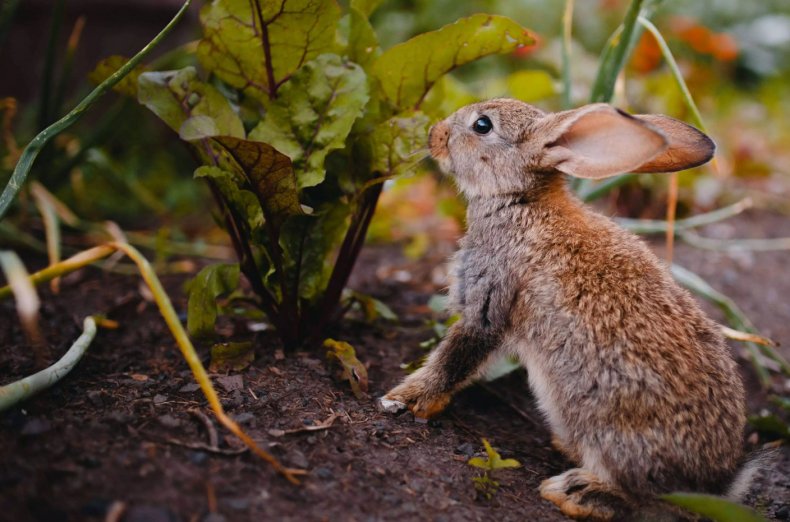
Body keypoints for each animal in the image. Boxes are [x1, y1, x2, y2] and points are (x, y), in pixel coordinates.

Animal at [380, 99, 756, 516]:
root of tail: (717, 483)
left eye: (482, 125)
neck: (520, 199)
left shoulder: (488, 300)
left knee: (644, 500)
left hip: (604, 428)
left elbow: (454, 359)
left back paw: (576, 491)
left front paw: (404, 398)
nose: (435, 134)